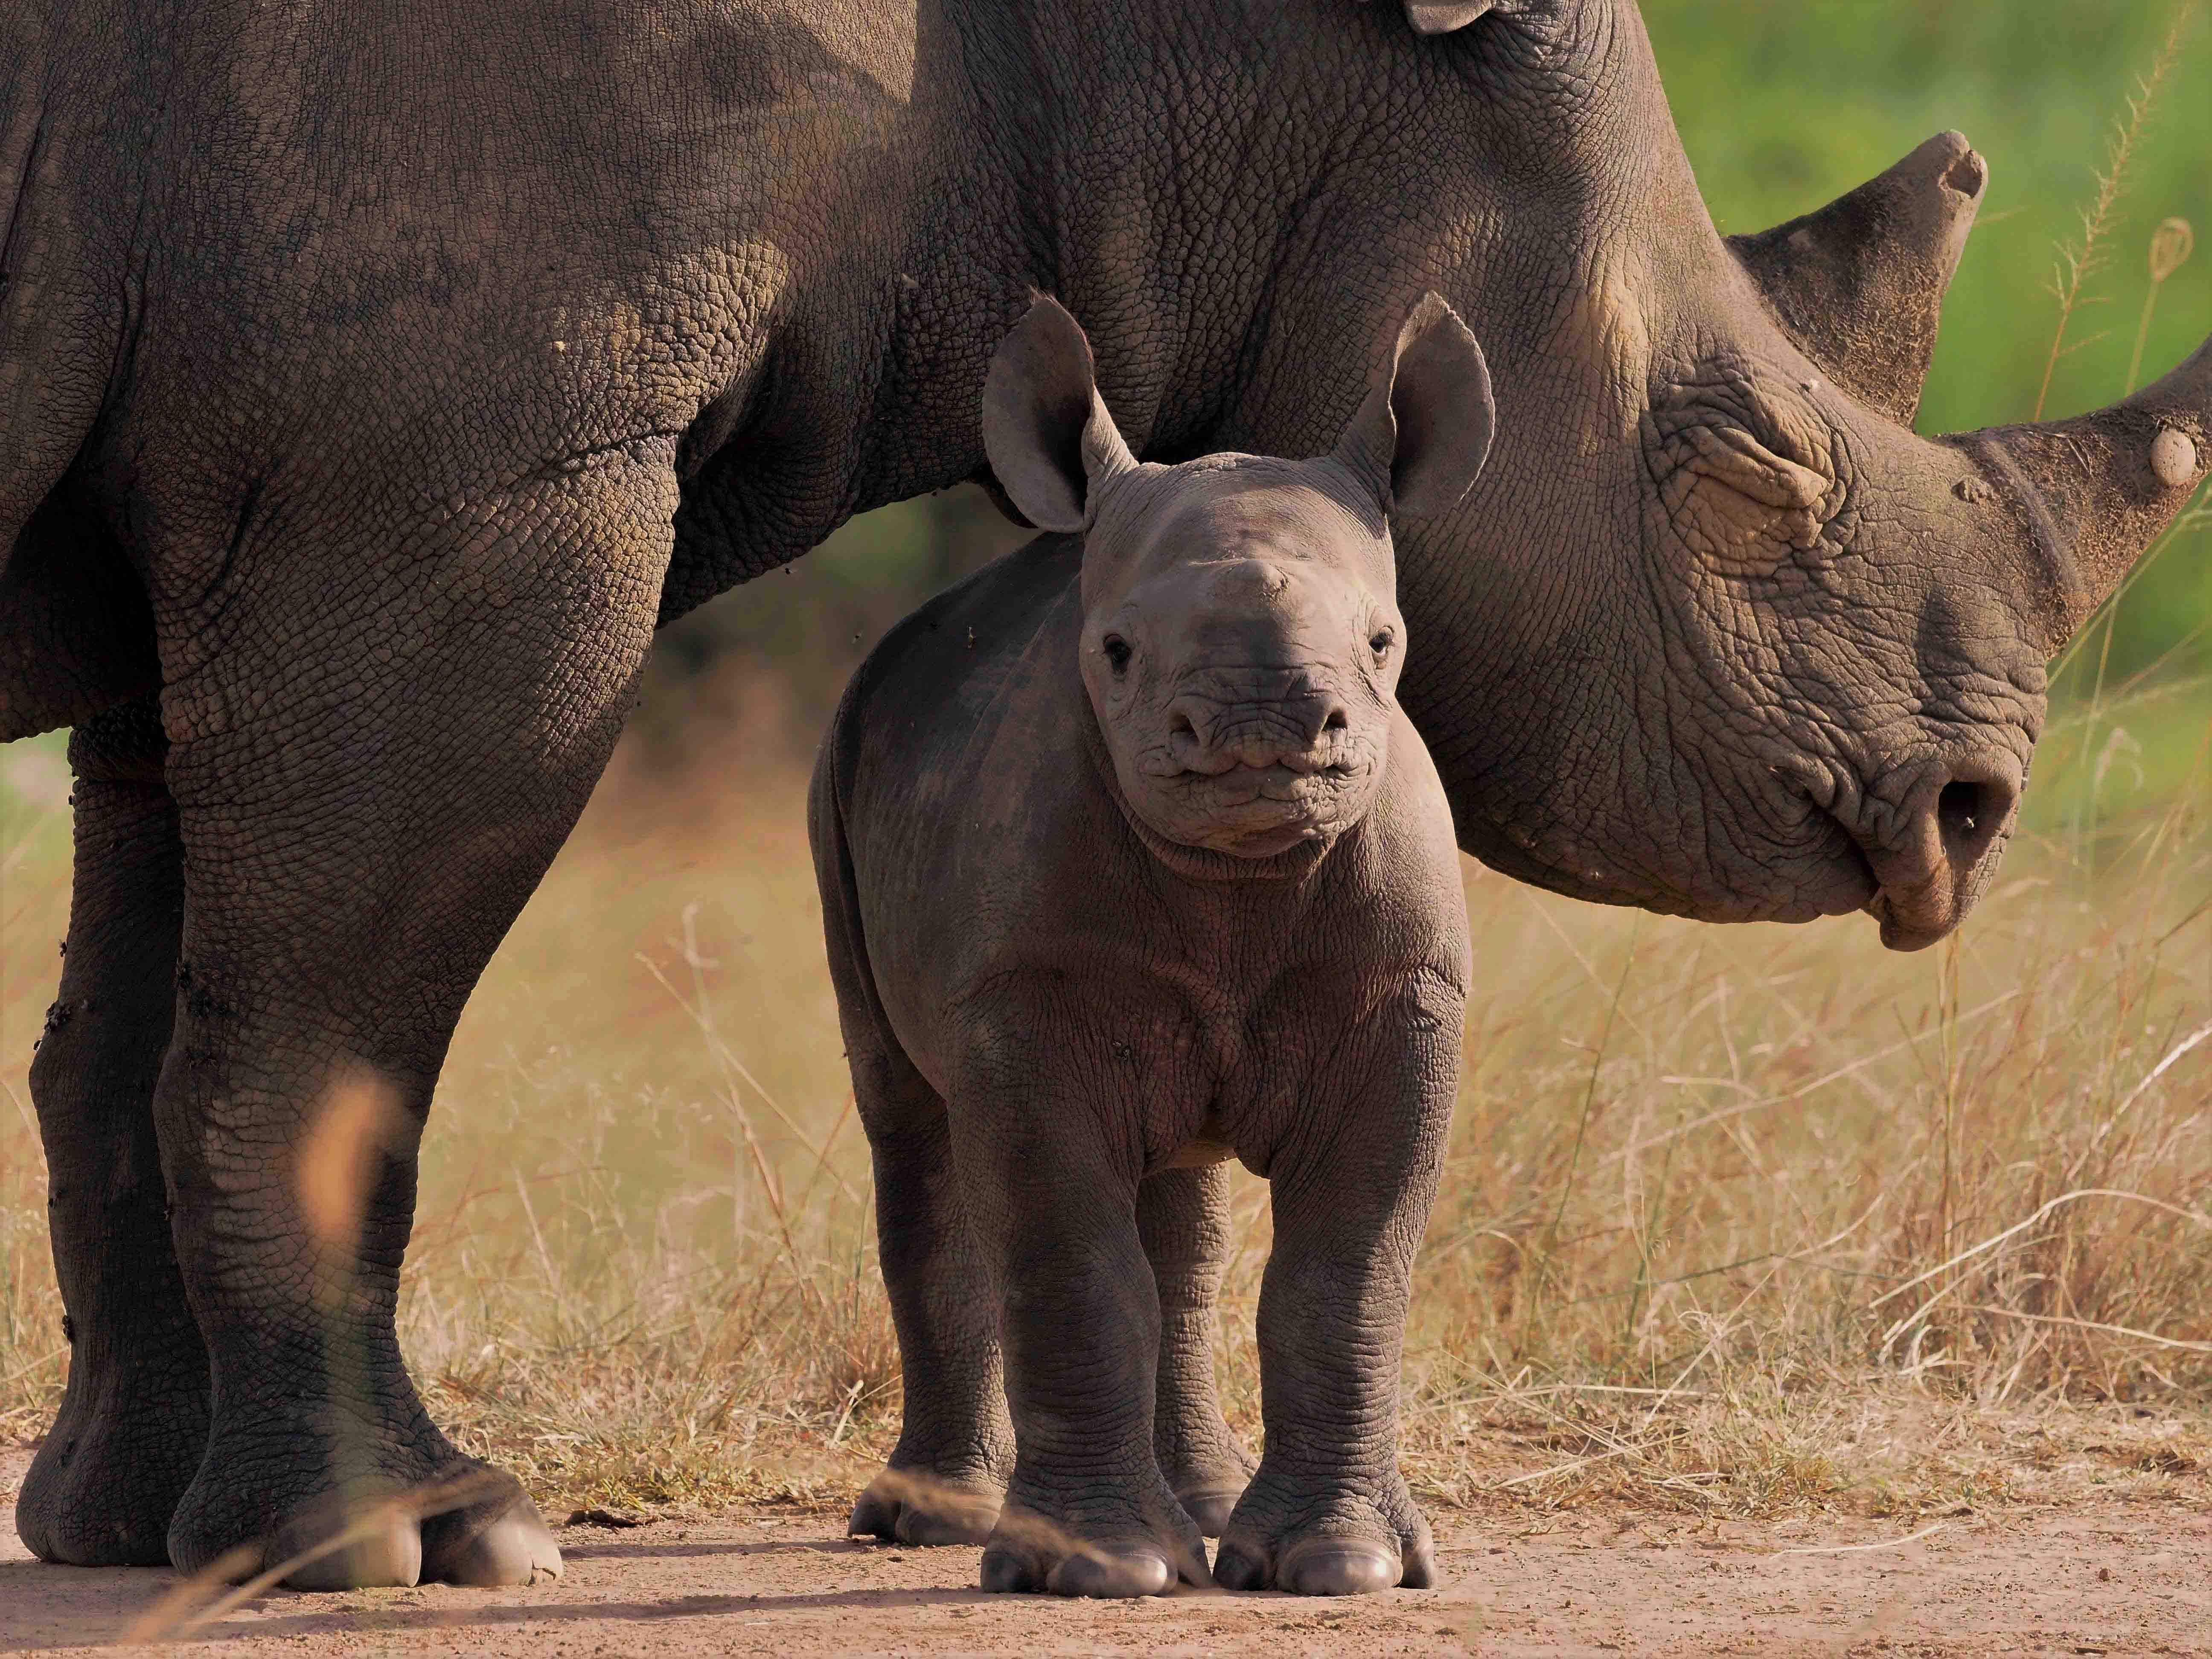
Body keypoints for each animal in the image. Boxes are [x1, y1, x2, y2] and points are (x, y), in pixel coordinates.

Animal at [6, 0, 2207, 1592]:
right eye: (1747, 471)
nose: (1972, 811)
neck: (1140, 56)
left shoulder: (256, 519)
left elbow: (143, 1003)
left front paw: (132, 1535)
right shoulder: (451, 485)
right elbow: (330, 1035)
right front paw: (403, 1541)